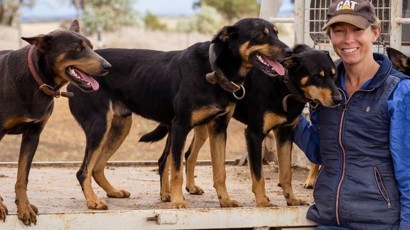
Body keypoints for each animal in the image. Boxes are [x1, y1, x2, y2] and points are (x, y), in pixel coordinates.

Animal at [0, 19, 110, 225]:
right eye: (78, 49)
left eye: (91, 47)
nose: (108, 66)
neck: (35, 80)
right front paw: (1, 206)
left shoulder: (33, 135)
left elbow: (22, 177)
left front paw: (24, 207)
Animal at [67, 17, 290, 209]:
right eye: (260, 36)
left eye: (276, 33)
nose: (289, 51)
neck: (214, 70)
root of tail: (75, 72)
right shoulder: (181, 126)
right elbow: (176, 171)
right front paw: (178, 202)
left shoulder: (218, 128)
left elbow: (220, 172)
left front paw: (225, 200)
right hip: (100, 126)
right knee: (82, 171)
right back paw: (93, 202)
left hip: (121, 126)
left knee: (96, 167)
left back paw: (113, 192)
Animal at [141, 44, 342, 207]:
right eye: (317, 76)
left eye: (334, 75)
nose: (339, 99)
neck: (282, 84)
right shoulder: (254, 133)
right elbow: (259, 174)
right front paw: (263, 201)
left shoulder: (285, 134)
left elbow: (286, 173)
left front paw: (291, 199)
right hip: (180, 127)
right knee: (165, 159)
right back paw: (166, 194)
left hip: (203, 127)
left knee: (189, 155)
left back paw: (190, 187)